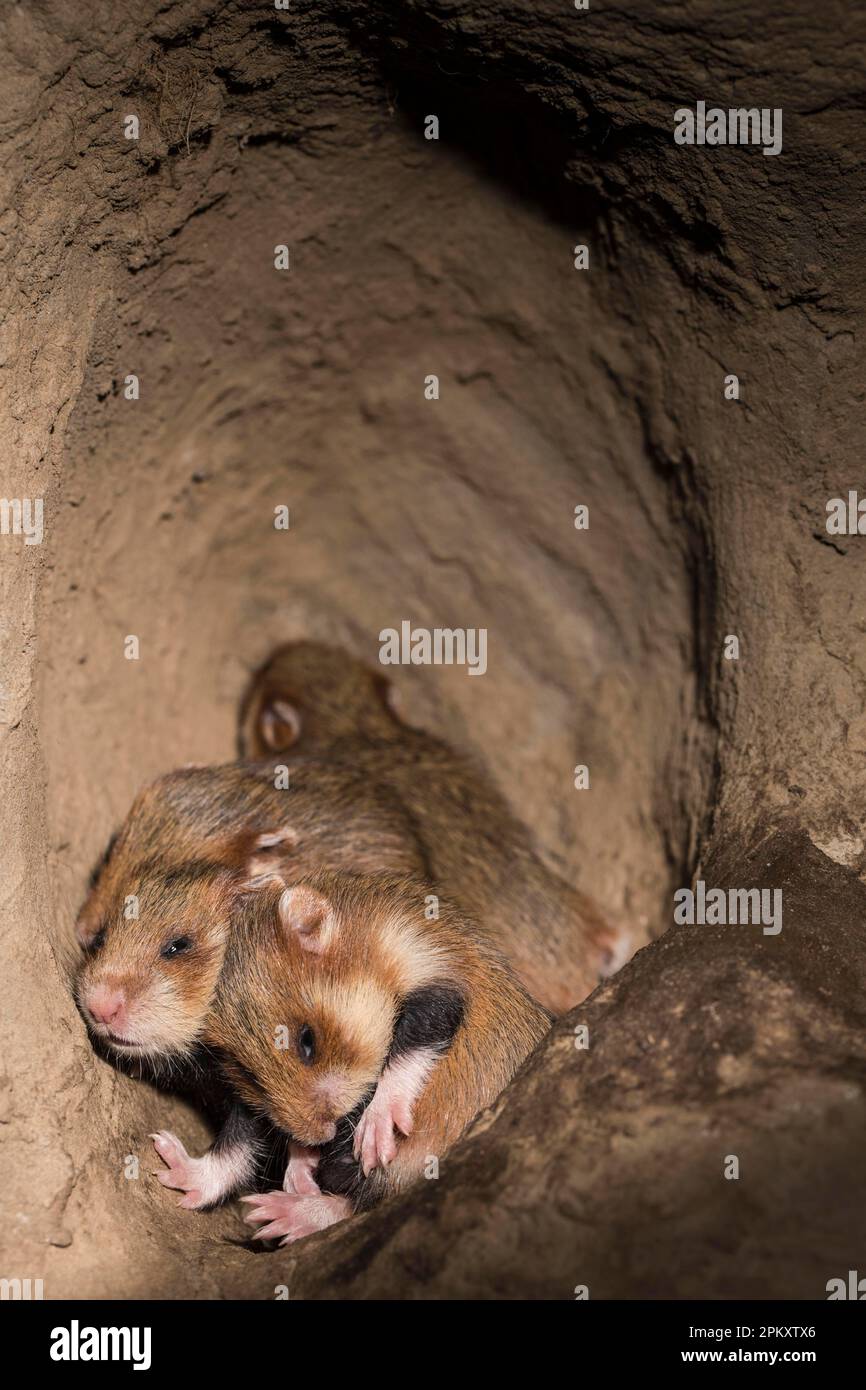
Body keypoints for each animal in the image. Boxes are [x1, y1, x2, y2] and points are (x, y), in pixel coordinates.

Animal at [200, 861, 553, 1245]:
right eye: (247, 1073)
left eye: (307, 1041)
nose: (319, 1139)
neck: (369, 937)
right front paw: (300, 1167)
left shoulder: (435, 977)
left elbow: (409, 1050)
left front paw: (373, 1133)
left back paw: (284, 1213)